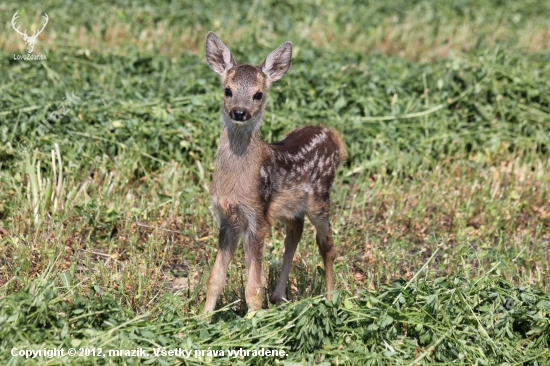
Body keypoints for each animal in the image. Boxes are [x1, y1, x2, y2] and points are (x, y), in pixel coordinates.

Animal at [205, 31, 348, 314]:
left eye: (258, 94)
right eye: (228, 90)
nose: (239, 112)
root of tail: (335, 137)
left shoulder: (257, 216)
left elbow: (253, 287)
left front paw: (253, 320)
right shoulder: (227, 218)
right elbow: (216, 278)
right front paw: (201, 318)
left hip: (320, 198)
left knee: (327, 245)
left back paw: (330, 299)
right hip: (289, 207)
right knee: (295, 233)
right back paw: (279, 295)